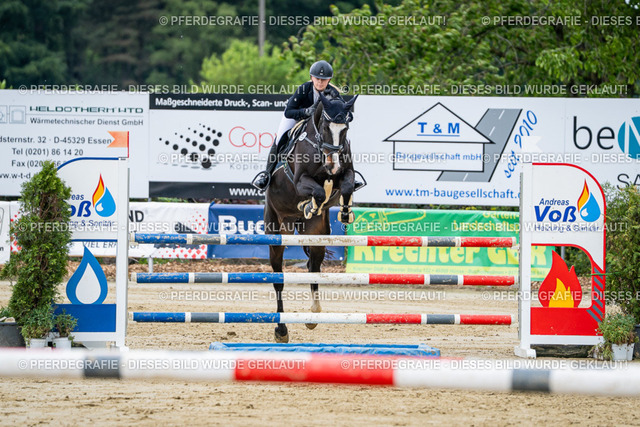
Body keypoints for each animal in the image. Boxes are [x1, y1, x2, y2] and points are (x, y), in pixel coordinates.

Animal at [264, 92, 358, 343]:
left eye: (345, 129)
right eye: (325, 127)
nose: (332, 164)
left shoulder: (345, 174)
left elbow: (346, 186)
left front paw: (345, 212)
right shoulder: (300, 180)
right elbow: (317, 191)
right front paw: (310, 204)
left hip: (316, 235)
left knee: (313, 268)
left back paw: (313, 316)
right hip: (276, 231)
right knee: (279, 279)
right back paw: (281, 330)